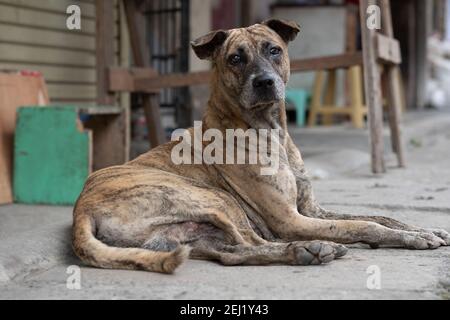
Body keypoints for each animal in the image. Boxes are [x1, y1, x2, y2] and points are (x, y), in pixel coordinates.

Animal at [72, 20, 448, 274]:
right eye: (236, 59)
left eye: (274, 50)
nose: (265, 82)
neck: (270, 131)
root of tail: (81, 212)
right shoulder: (291, 219)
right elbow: (365, 224)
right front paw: (409, 239)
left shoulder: (311, 210)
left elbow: (379, 215)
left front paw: (423, 229)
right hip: (212, 198)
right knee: (252, 243)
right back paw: (312, 248)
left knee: (234, 253)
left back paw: (308, 251)